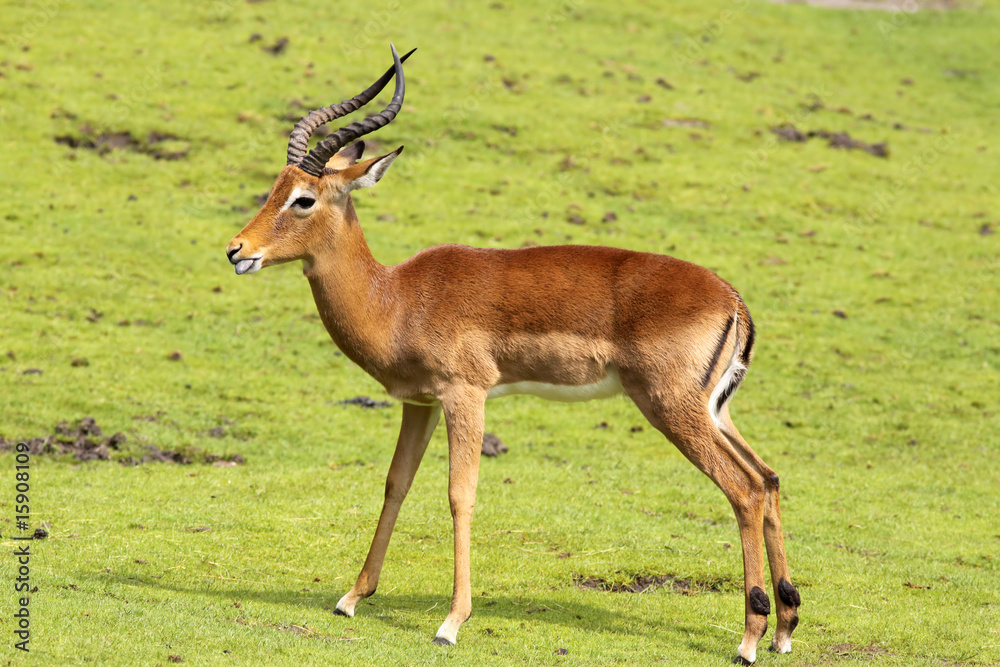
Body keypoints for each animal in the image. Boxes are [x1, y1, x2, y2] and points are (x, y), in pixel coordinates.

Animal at [225, 44, 800, 664]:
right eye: (274, 187)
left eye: (303, 199)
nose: (237, 250)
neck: (397, 298)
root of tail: (733, 300)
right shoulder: (419, 404)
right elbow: (395, 483)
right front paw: (353, 598)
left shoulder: (466, 395)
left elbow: (461, 494)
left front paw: (451, 622)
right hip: (714, 410)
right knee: (768, 478)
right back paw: (784, 628)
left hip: (670, 407)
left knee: (744, 490)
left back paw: (749, 637)